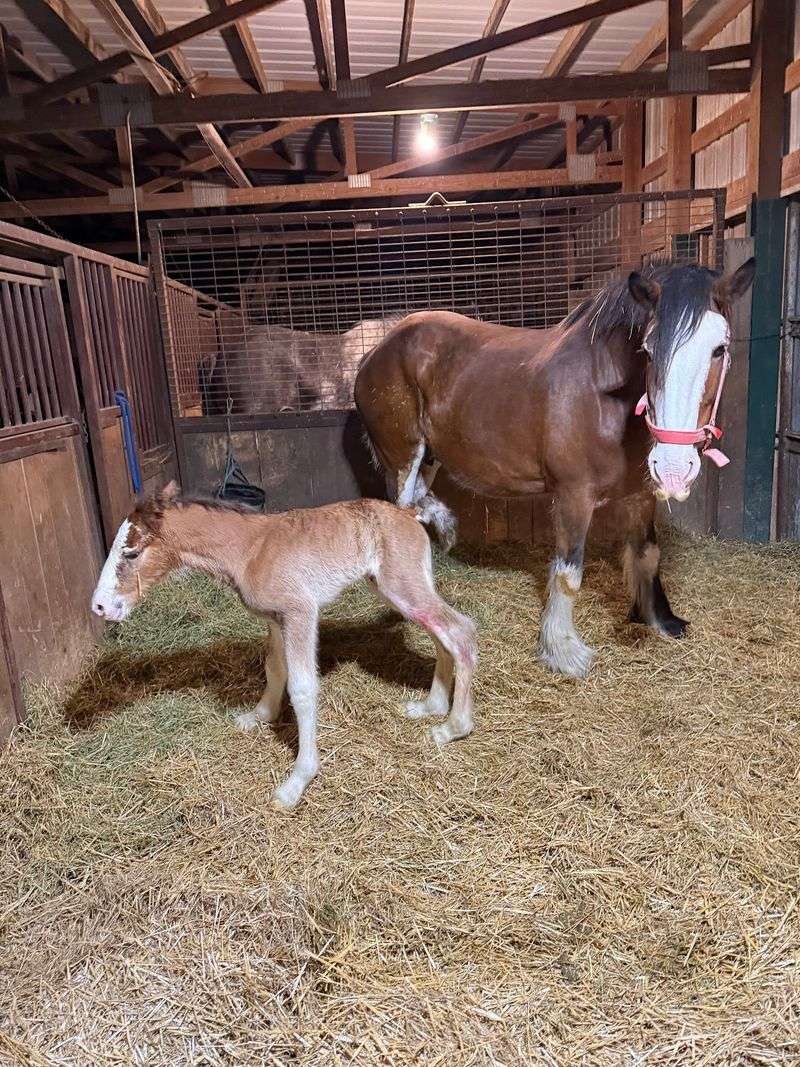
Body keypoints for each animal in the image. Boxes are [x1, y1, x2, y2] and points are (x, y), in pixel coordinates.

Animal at [91, 484, 477, 809]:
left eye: (131, 552)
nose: (99, 607)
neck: (250, 549)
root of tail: (409, 512)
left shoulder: (300, 613)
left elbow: (303, 688)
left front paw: (297, 782)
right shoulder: (276, 619)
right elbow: (274, 668)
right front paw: (259, 716)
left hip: (403, 587)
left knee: (461, 631)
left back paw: (452, 728)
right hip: (398, 590)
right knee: (442, 635)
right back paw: (431, 706)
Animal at [354, 259, 756, 679]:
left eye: (720, 349)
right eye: (647, 350)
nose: (675, 468)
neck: (601, 394)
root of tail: (375, 351)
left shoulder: (639, 494)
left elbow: (647, 554)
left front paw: (659, 620)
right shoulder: (573, 495)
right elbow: (568, 571)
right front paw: (563, 651)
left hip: (428, 459)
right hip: (403, 458)